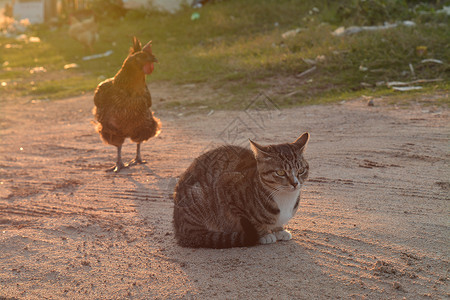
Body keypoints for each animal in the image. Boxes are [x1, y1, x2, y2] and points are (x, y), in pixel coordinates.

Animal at [172, 132, 310, 248]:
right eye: (280, 172)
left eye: (301, 170)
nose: (295, 183)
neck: (285, 198)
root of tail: (179, 229)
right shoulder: (224, 186)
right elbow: (252, 222)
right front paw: (264, 234)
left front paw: (279, 230)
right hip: (197, 196)